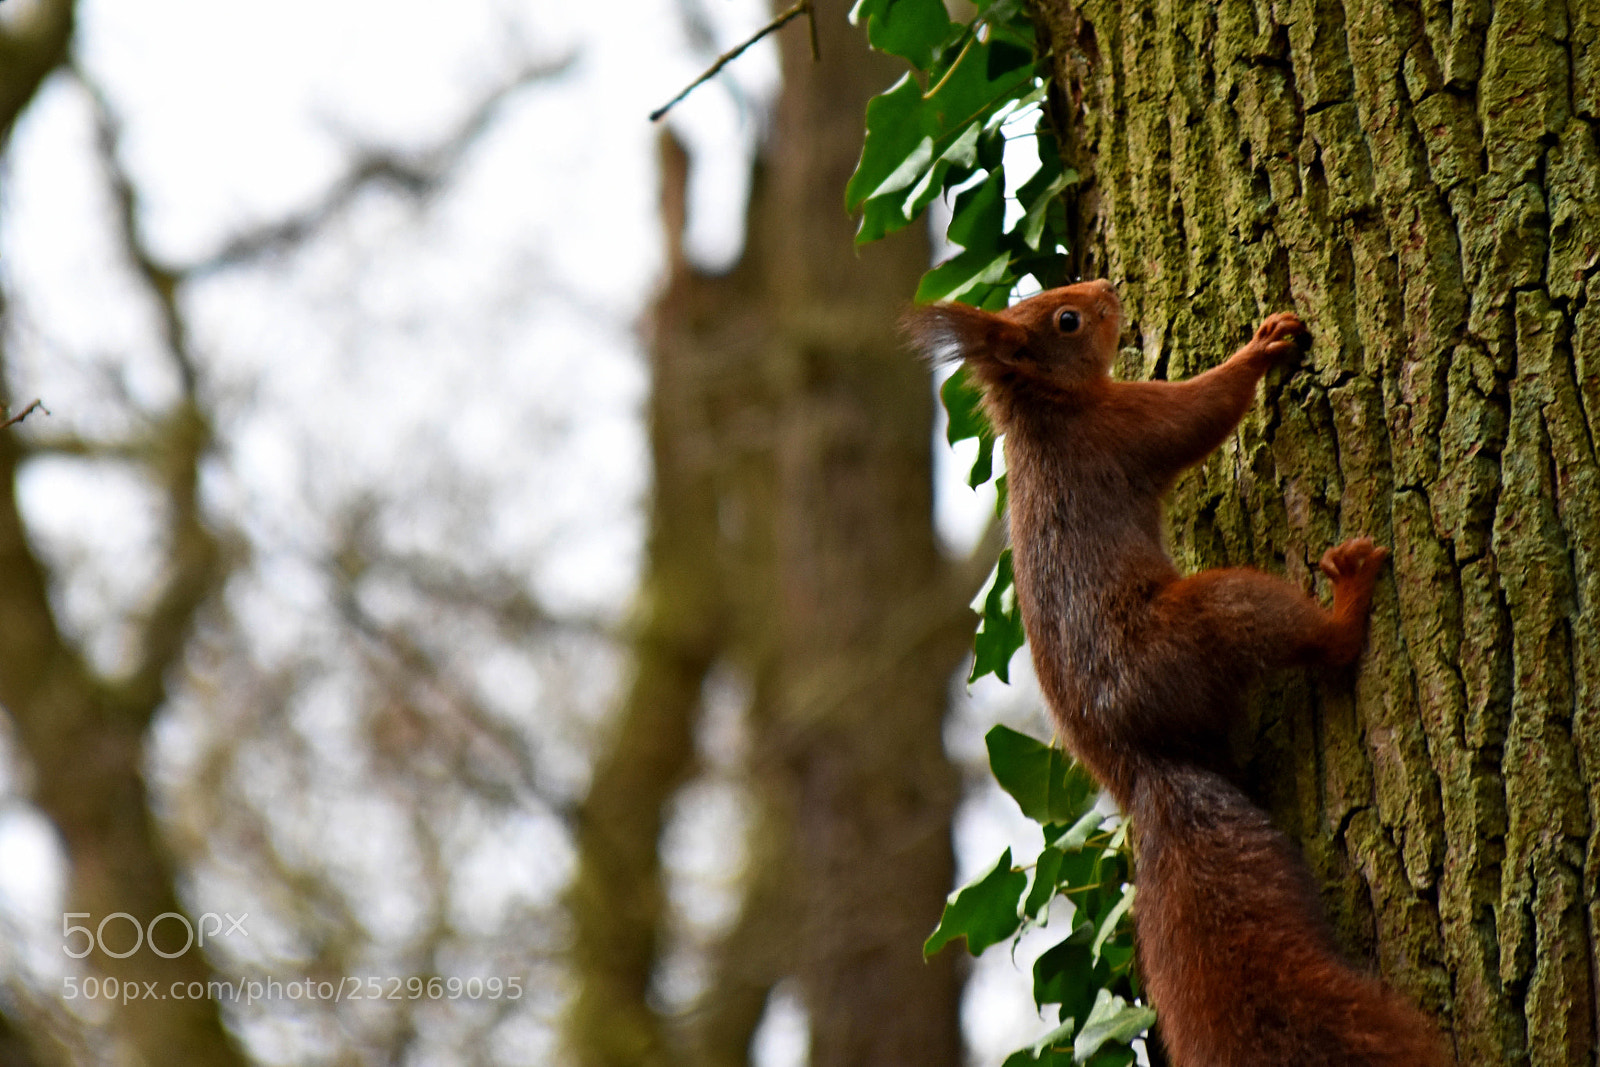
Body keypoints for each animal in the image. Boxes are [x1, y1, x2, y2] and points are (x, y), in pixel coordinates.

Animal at [905, 280, 1450, 1067]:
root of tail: (1142, 763)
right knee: (1319, 643)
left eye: (1056, 297)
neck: (1047, 414)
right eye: (1067, 319)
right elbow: (1201, 412)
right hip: (1208, 618)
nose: (1108, 287)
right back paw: (1348, 600)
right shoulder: (1128, 425)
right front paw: (1262, 347)